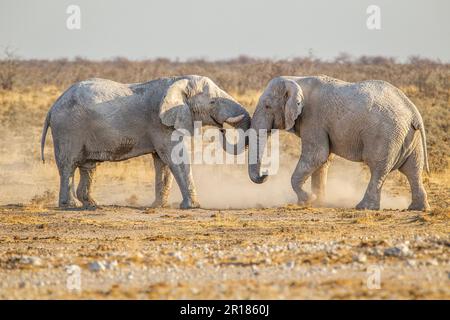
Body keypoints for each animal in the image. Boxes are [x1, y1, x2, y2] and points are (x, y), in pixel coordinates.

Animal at [41, 75, 250, 210]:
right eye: (213, 101)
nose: (222, 129)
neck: (177, 81)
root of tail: (53, 107)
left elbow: (163, 162)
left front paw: (159, 206)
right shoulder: (159, 124)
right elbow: (174, 158)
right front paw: (193, 206)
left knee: (88, 167)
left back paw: (91, 204)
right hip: (68, 128)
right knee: (68, 164)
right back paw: (70, 205)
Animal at [248, 74, 430, 210]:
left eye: (267, 106)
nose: (265, 174)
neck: (296, 80)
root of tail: (413, 112)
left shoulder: (313, 118)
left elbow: (317, 155)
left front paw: (308, 199)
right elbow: (323, 159)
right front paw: (317, 202)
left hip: (386, 135)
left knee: (378, 167)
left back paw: (364, 207)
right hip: (409, 137)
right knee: (413, 169)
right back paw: (417, 208)